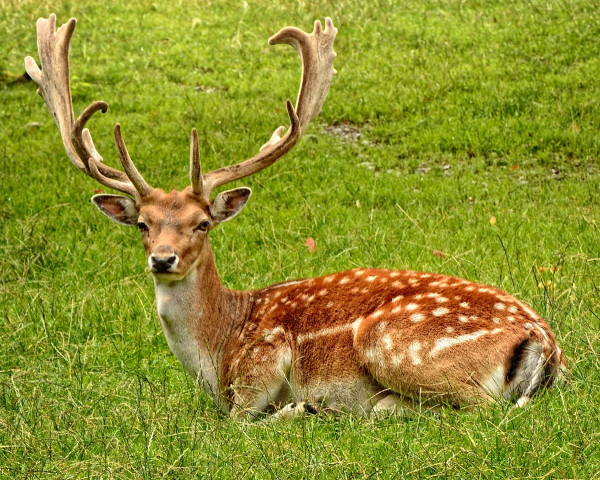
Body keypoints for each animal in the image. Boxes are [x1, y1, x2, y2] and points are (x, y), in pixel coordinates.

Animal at [24, 14, 568, 420]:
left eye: (203, 223)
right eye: (143, 224)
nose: (162, 259)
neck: (219, 349)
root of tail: (543, 341)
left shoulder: (261, 362)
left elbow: (240, 420)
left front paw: (297, 408)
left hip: (391, 342)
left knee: (479, 408)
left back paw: (358, 408)